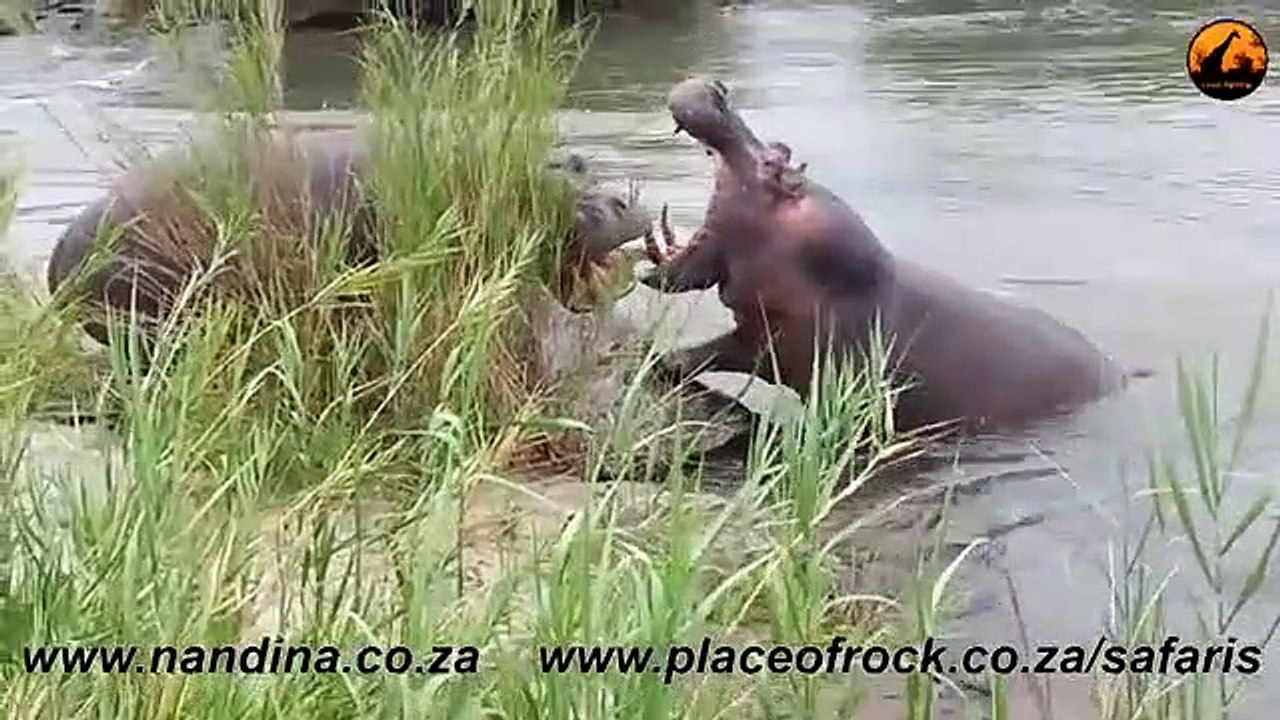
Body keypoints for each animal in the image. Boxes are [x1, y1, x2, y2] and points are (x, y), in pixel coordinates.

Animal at [638, 77, 1138, 442]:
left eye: (774, 164)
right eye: (780, 147)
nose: (717, 90)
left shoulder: (777, 340)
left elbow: (708, 353)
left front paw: (657, 357)